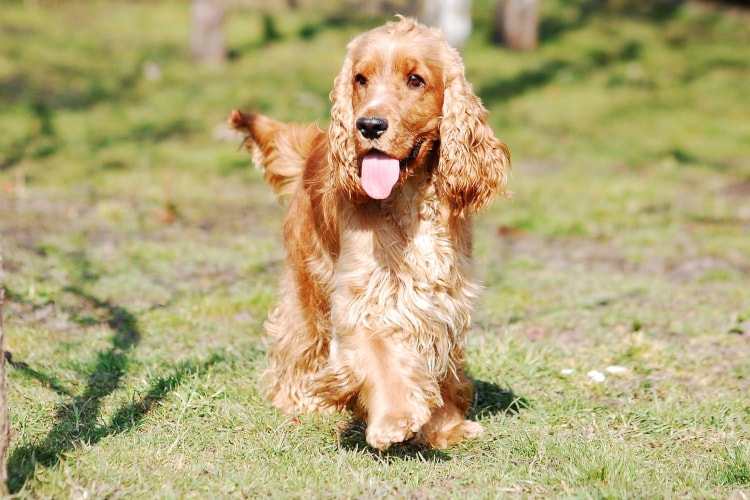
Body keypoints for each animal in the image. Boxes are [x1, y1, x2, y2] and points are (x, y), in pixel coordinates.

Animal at [231, 17, 512, 452]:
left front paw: (445, 426)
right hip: (308, 275)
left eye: (415, 80)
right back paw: (300, 397)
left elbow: (437, 361)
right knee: (298, 335)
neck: (410, 199)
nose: (368, 125)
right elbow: (380, 353)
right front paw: (395, 419)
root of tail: (317, 142)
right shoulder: (364, 296)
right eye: (360, 79)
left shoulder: (443, 298)